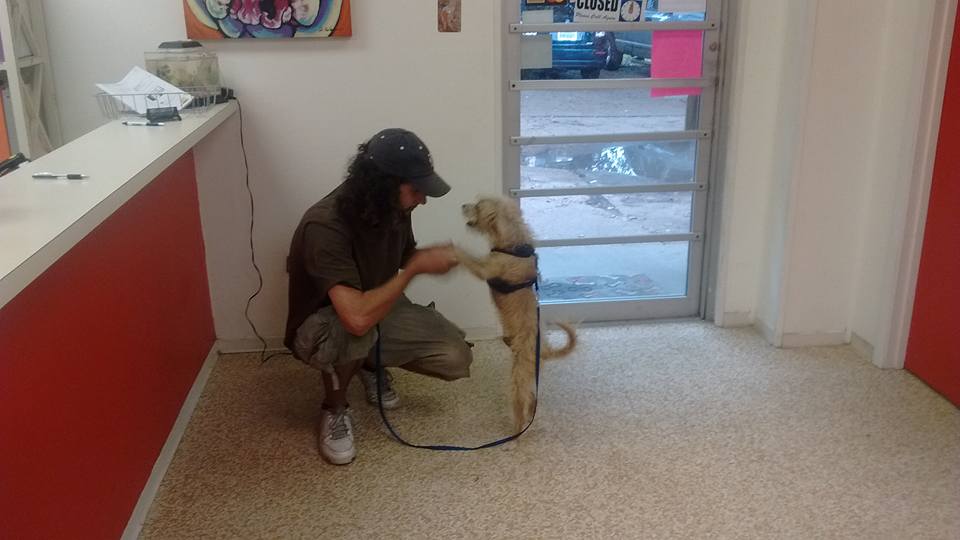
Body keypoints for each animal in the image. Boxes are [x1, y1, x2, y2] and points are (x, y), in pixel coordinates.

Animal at [454, 196, 572, 432]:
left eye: (478, 206)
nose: (462, 205)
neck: (513, 240)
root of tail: (544, 351)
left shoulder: (485, 268)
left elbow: (465, 256)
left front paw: (448, 248)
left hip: (518, 375)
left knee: (520, 401)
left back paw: (517, 429)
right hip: (531, 376)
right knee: (533, 398)